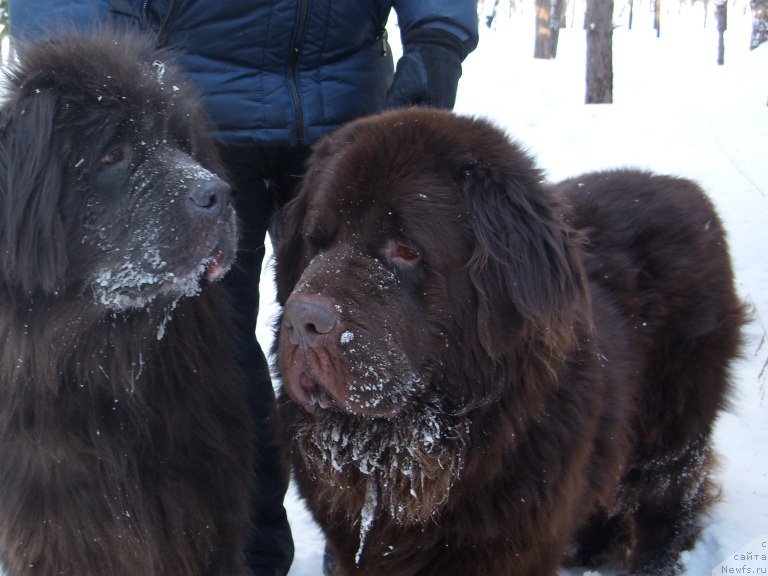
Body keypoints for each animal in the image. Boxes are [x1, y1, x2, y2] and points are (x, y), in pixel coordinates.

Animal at [274, 108, 744, 576]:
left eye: (405, 250)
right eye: (316, 241)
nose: (302, 321)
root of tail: (686, 189)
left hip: (673, 424)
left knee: (666, 501)